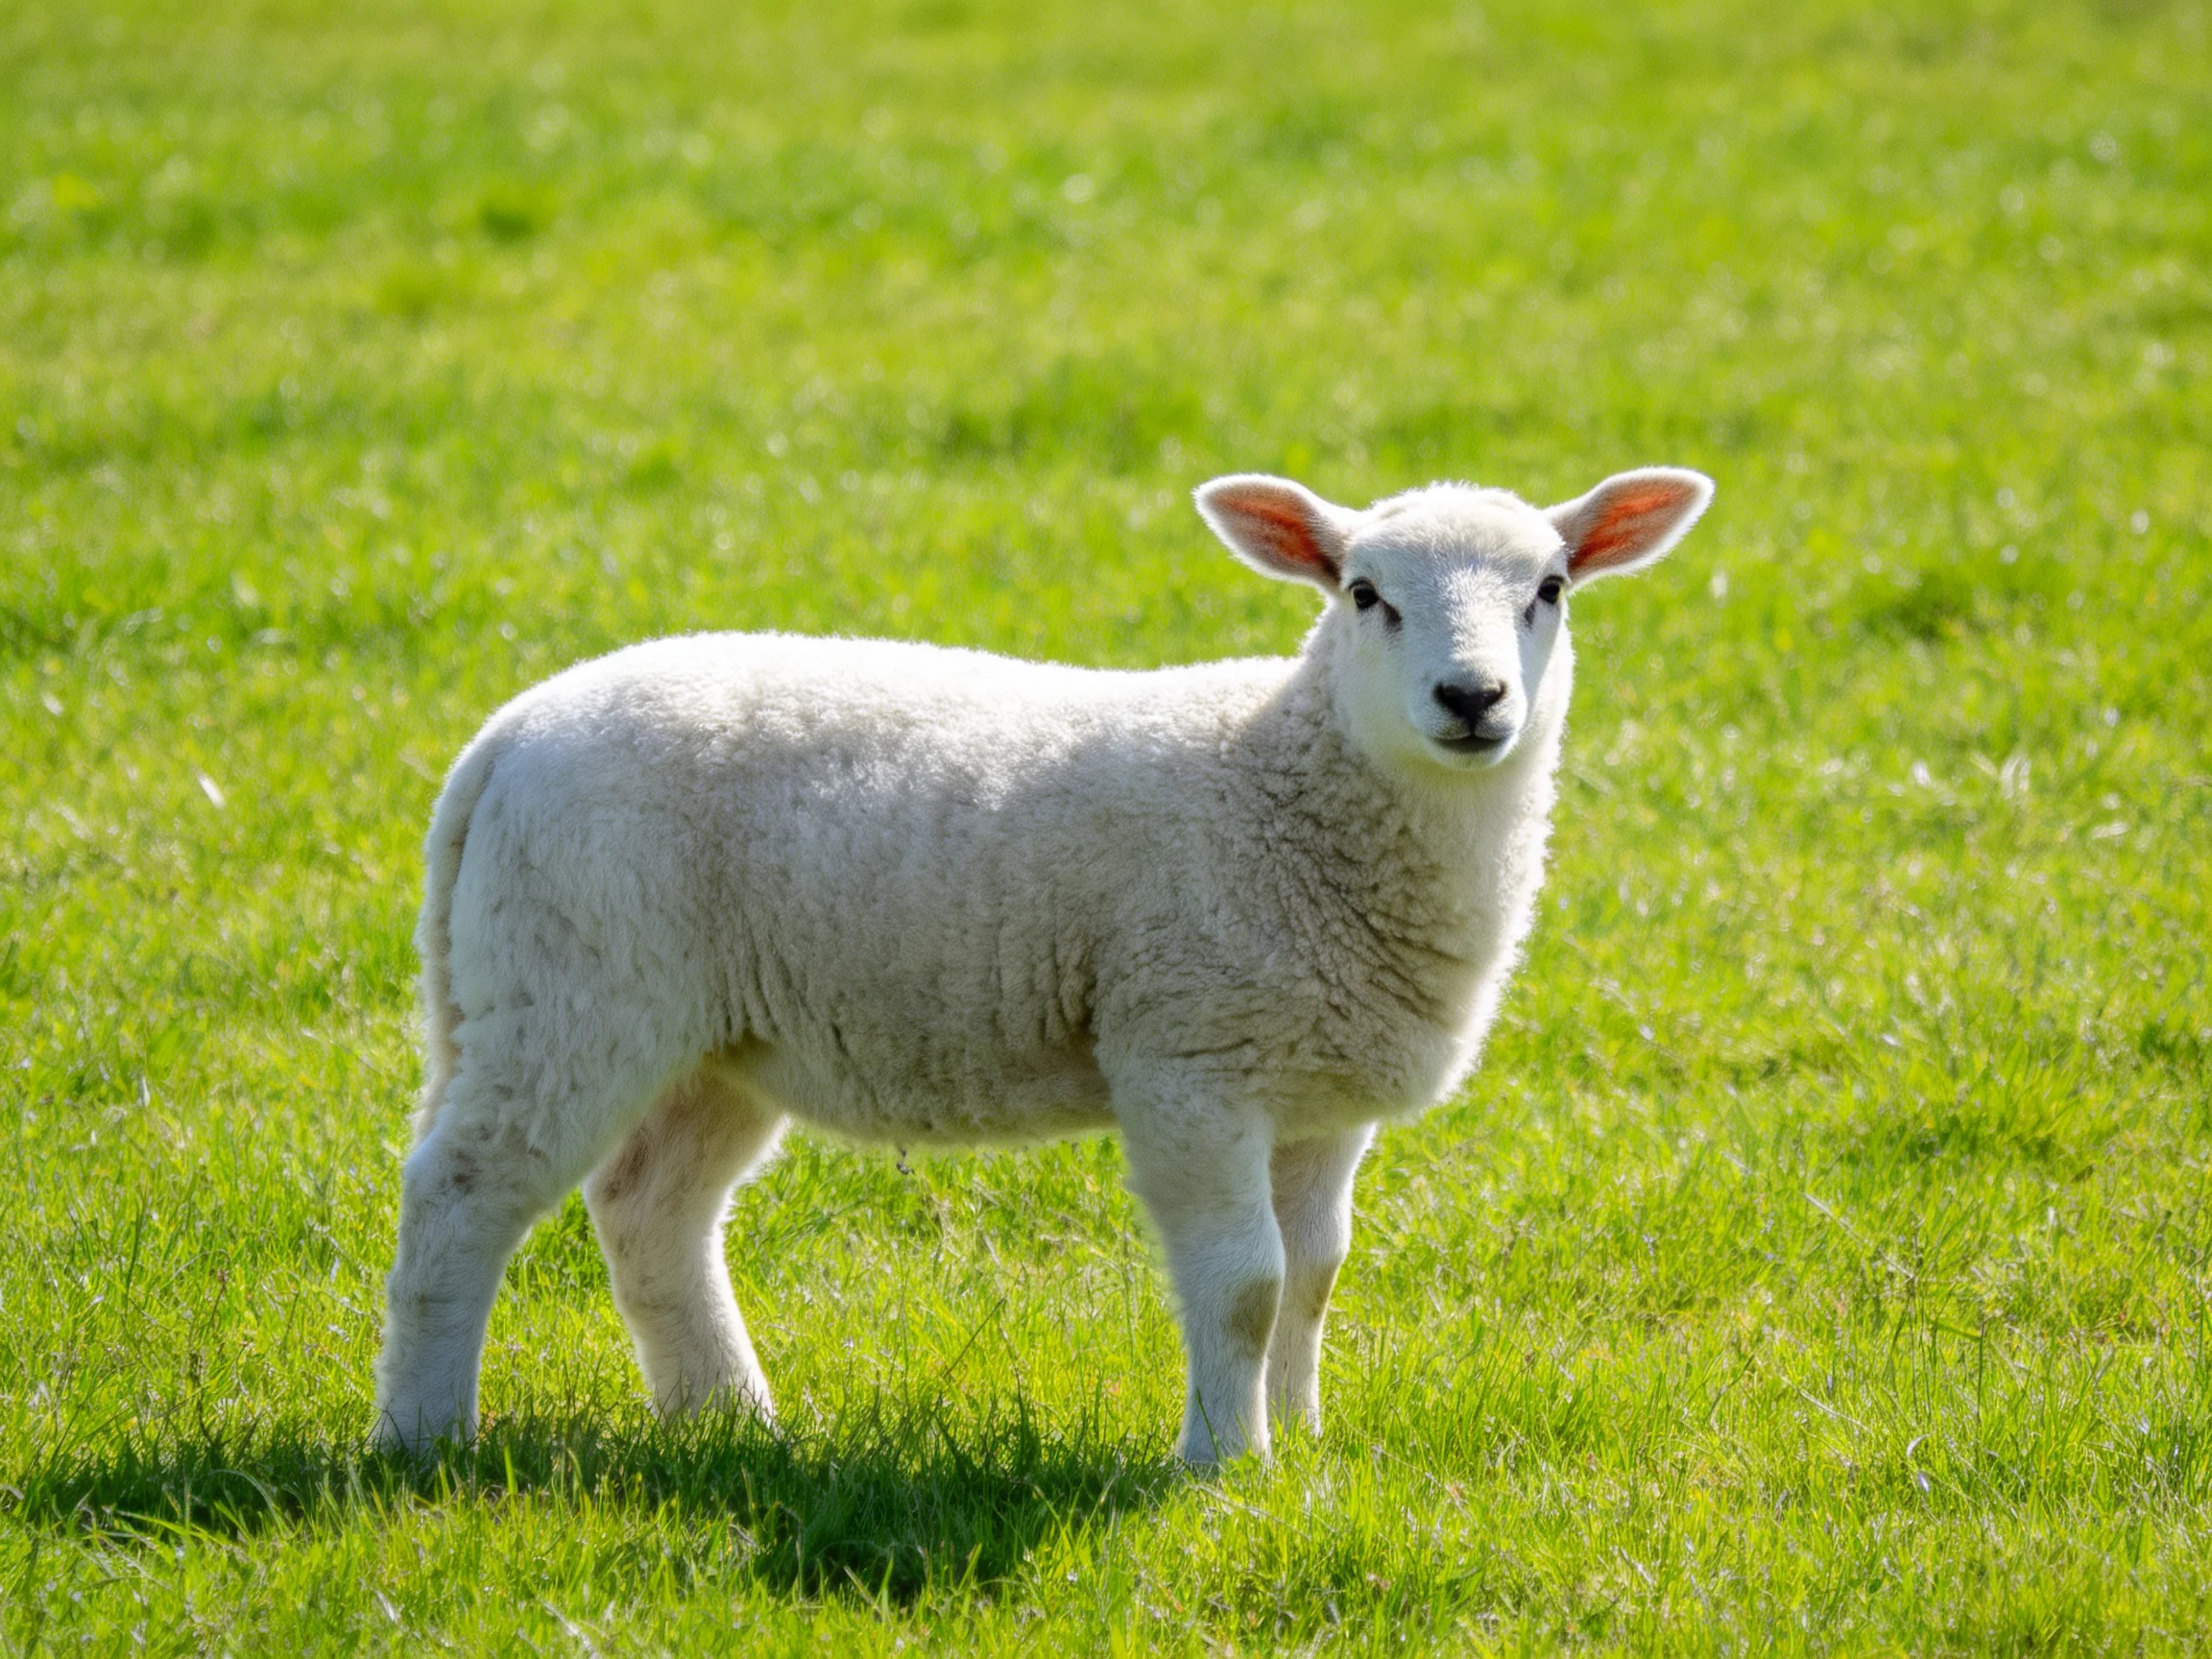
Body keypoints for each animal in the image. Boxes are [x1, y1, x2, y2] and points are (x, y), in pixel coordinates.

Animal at [371, 464, 1714, 1466]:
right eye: (1364, 593)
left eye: (1551, 587)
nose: (1472, 698)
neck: (1285, 784)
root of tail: (507, 735)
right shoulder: (1186, 1056)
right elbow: (1245, 1283)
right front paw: (1223, 1467)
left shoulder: (1320, 1091)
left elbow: (1315, 1278)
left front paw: (1301, 1446)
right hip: (572, 990)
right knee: (461, 1192)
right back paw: (425, 1437)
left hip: (710, 1038)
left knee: (653, 1212)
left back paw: (730, 1424)